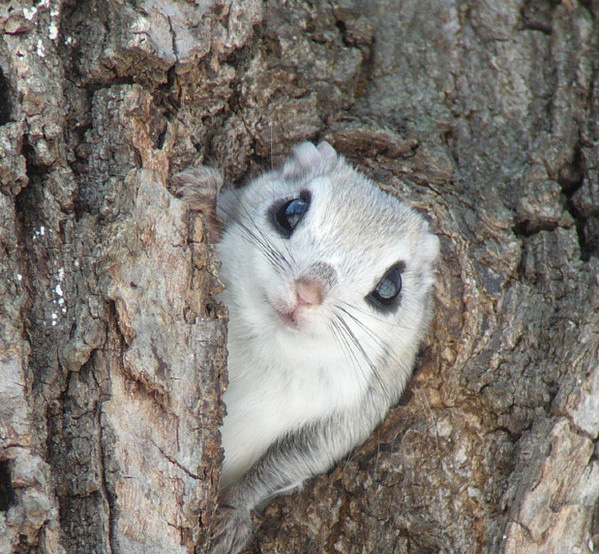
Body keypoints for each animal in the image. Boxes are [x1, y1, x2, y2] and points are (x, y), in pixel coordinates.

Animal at [173, 141, 440, 552]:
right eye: (292, 210)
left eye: (390, 286)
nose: (308, 292)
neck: (267, 342)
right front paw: (206, 196)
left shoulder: (353, 416)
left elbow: (287, 464)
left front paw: (232, 515)